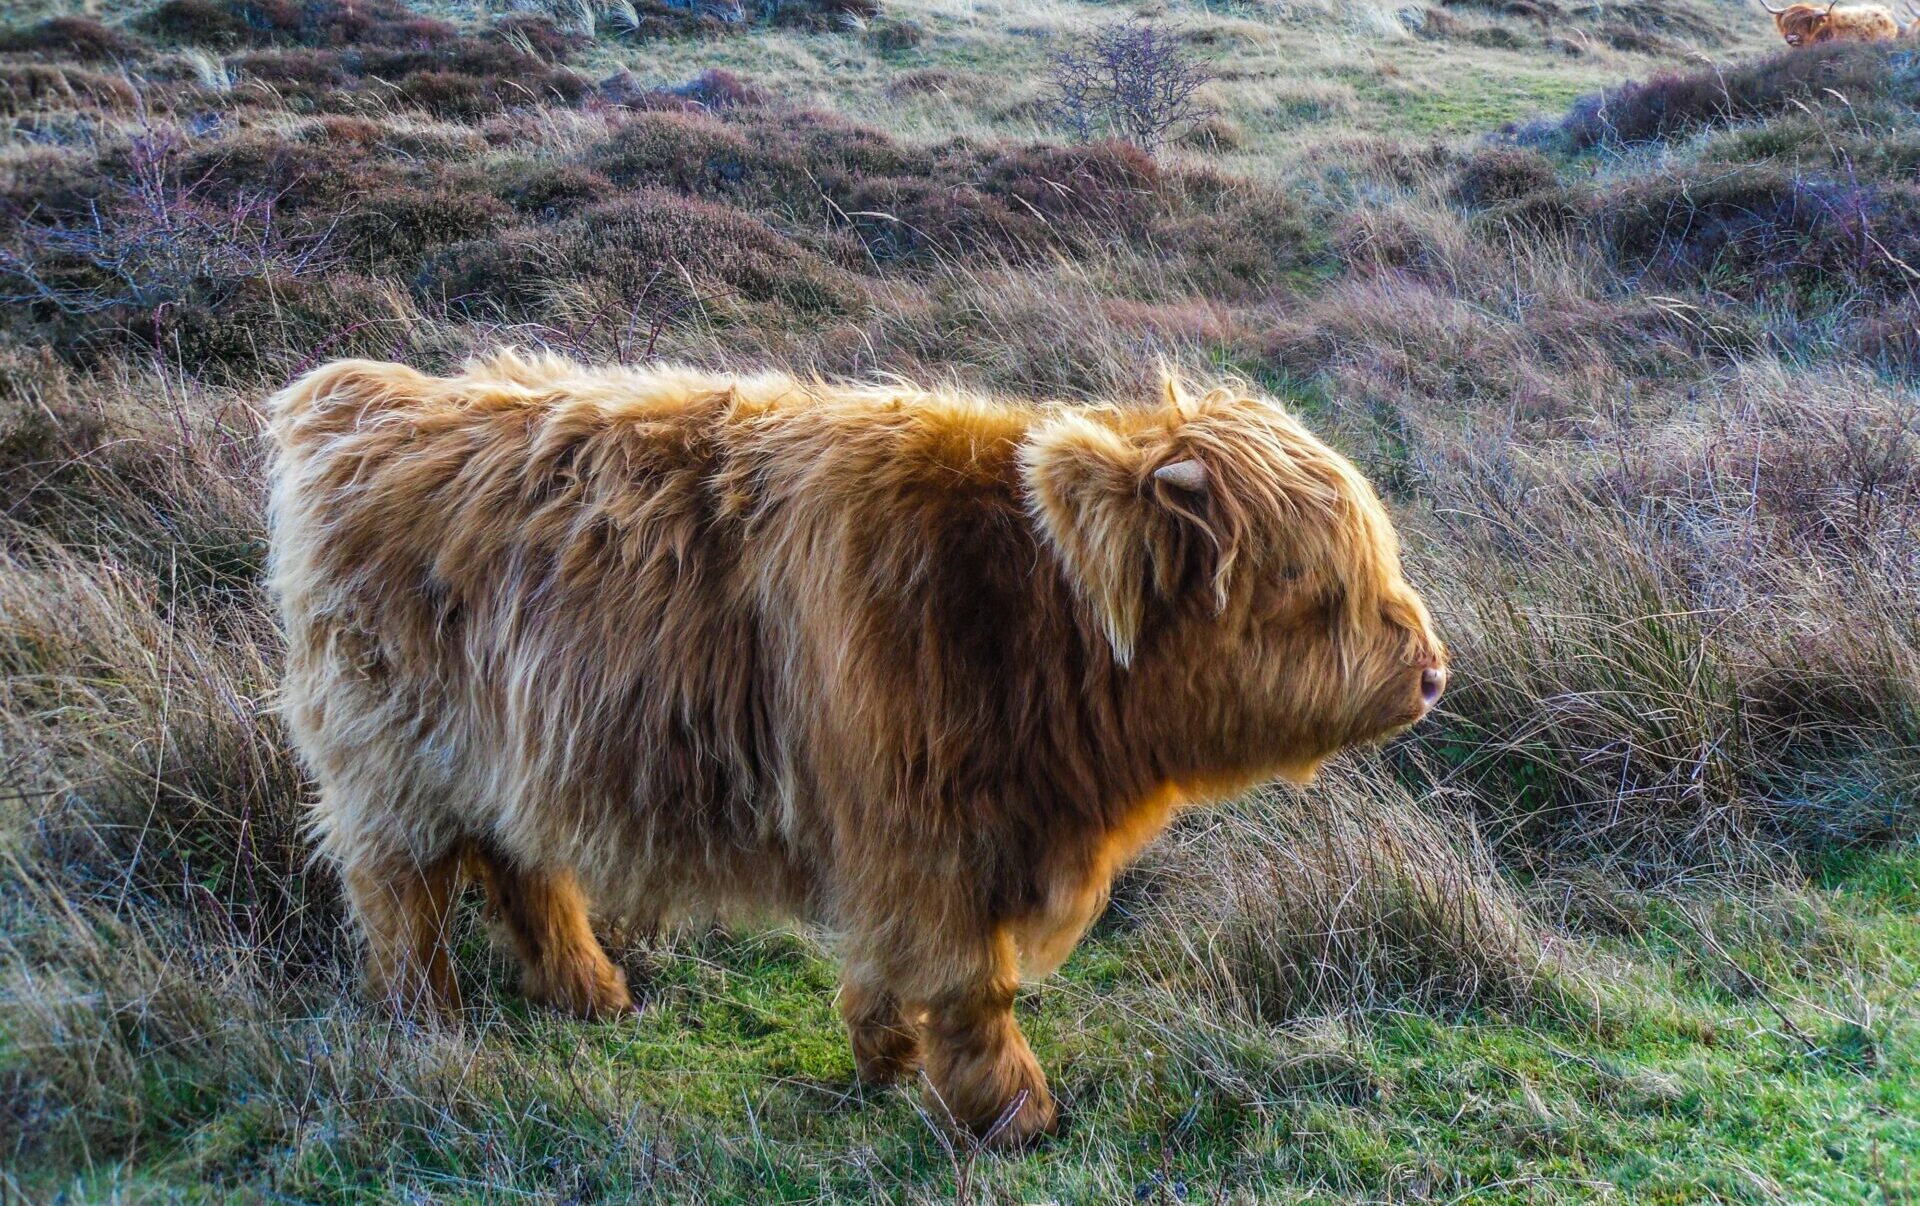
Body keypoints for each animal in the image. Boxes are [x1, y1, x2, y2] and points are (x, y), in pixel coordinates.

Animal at [263, 351, 1443, 1152]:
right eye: (1309, 586)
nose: (1431, 672)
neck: (1026, 620)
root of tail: (361, 400)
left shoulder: (910, 840)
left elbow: (891, 965)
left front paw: (887, 1054)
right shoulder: (926, 838)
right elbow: (973, 985)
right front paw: (1013, 1115)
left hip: (511, 756)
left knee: (521, 868)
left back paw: (590, 994)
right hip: (393, 763)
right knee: (400, 892)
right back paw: (431, 1022)